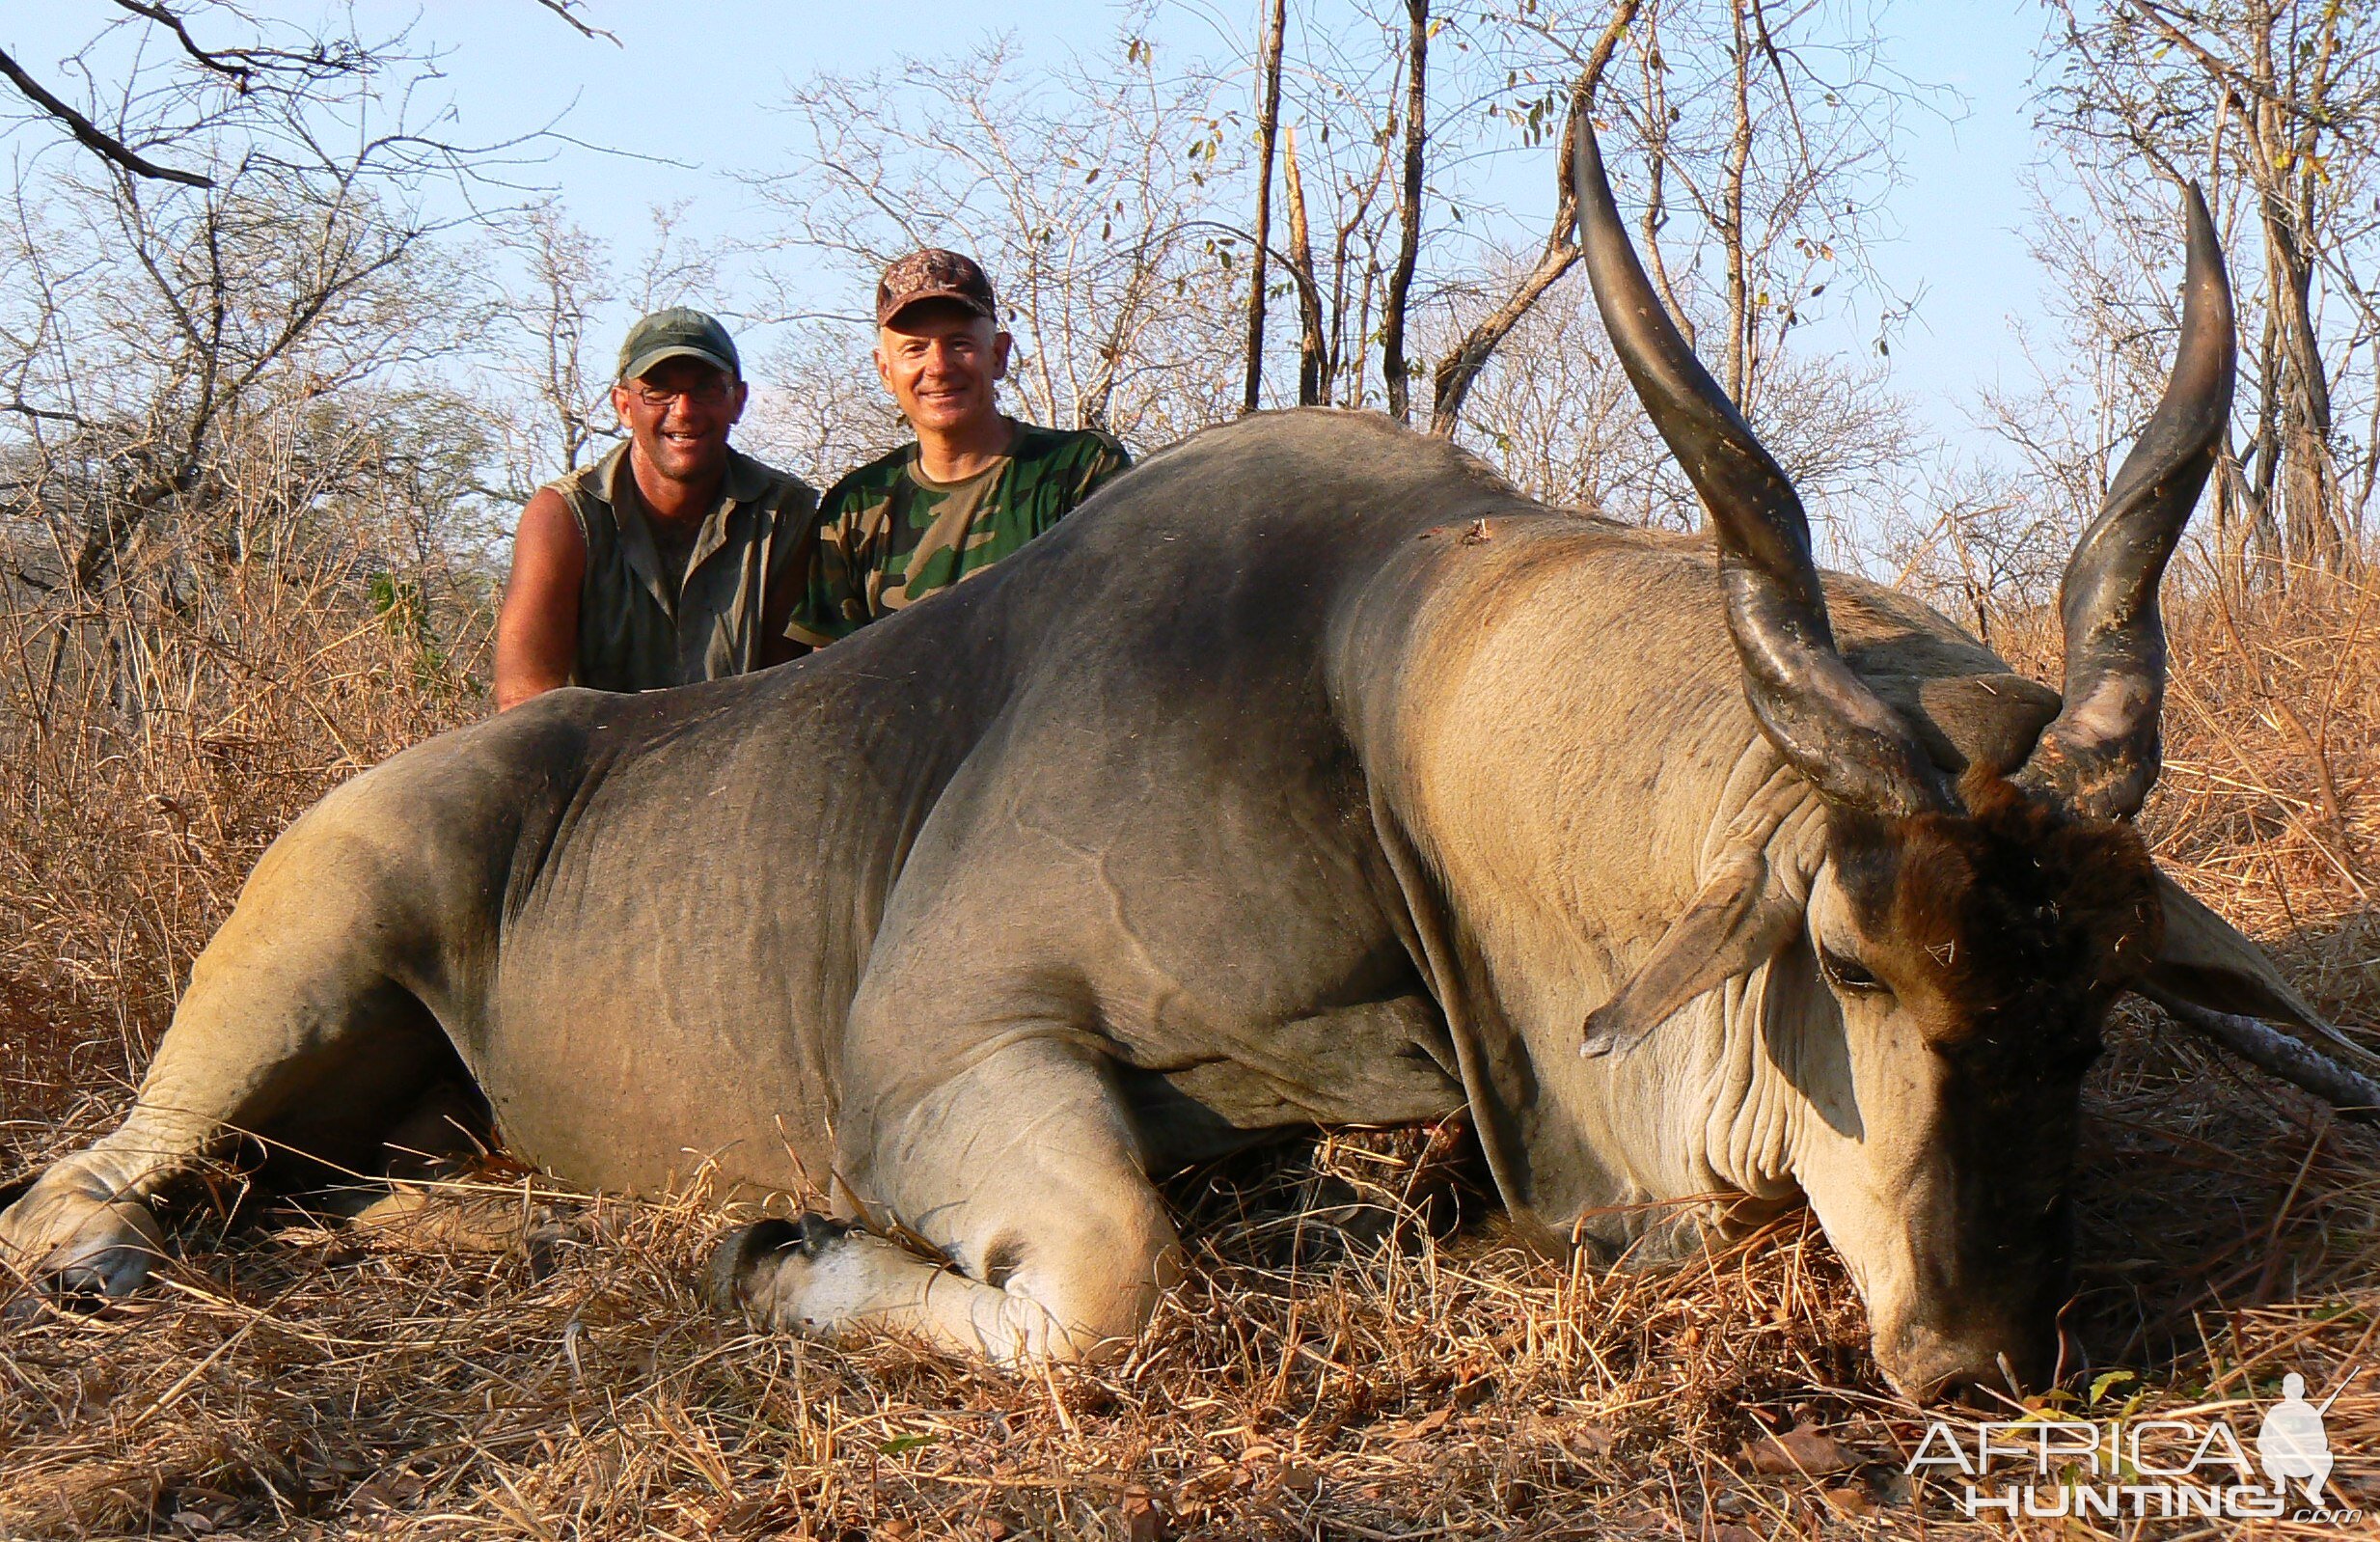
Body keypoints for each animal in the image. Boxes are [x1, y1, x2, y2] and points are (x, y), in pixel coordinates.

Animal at [4, 120, 2380, 1399]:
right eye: (1858, 964)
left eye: (2095, 1008)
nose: (1984, 1355)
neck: (1373, 686)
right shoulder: (939, 1056)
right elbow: (1109, 1280)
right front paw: (772, 1251)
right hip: (296, 964)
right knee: (80, 1188)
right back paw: (151, 1247)